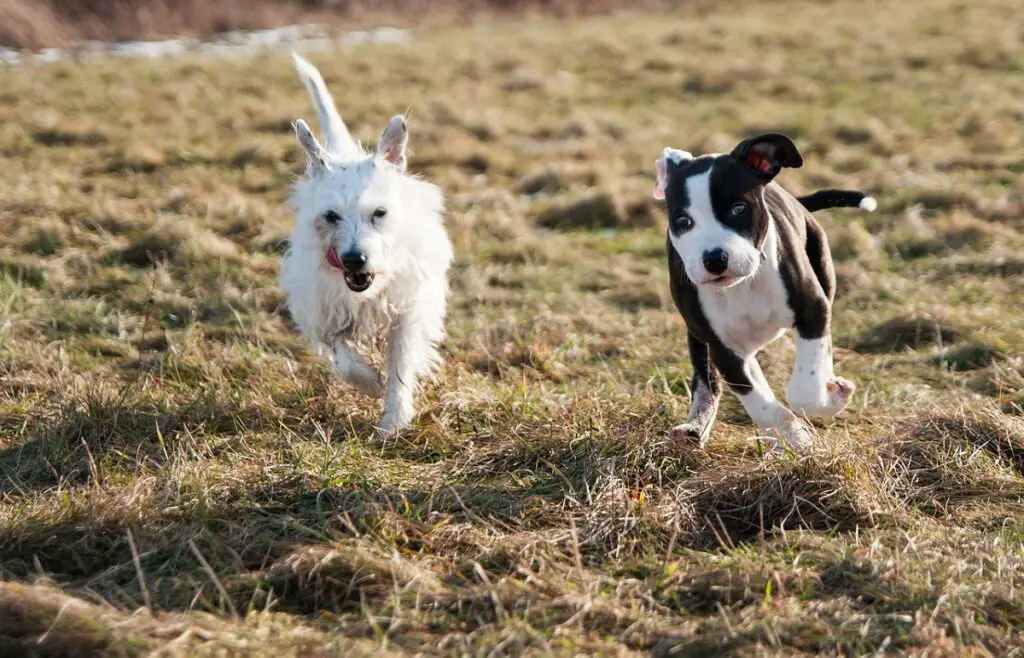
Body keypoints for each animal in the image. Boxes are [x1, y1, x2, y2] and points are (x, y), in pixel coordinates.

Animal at [282, 56, 454, 435]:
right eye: (331, 216)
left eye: (379, 212)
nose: (354, 258)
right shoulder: (323, 309)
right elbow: (342, 354)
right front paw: (370, 382)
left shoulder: (408, 310)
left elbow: (401, 366)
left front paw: (394, 419)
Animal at [651, 134, 876, 452]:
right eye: (683, 221)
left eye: (738, 208)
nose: (715, 259)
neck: (743, 285)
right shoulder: (723, 350)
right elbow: (759, 402)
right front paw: (793, 435)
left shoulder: (813, 309)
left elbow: (804, 389)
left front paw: (830, 399)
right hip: (698, 337)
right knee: (708, 380)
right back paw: (695, 427)